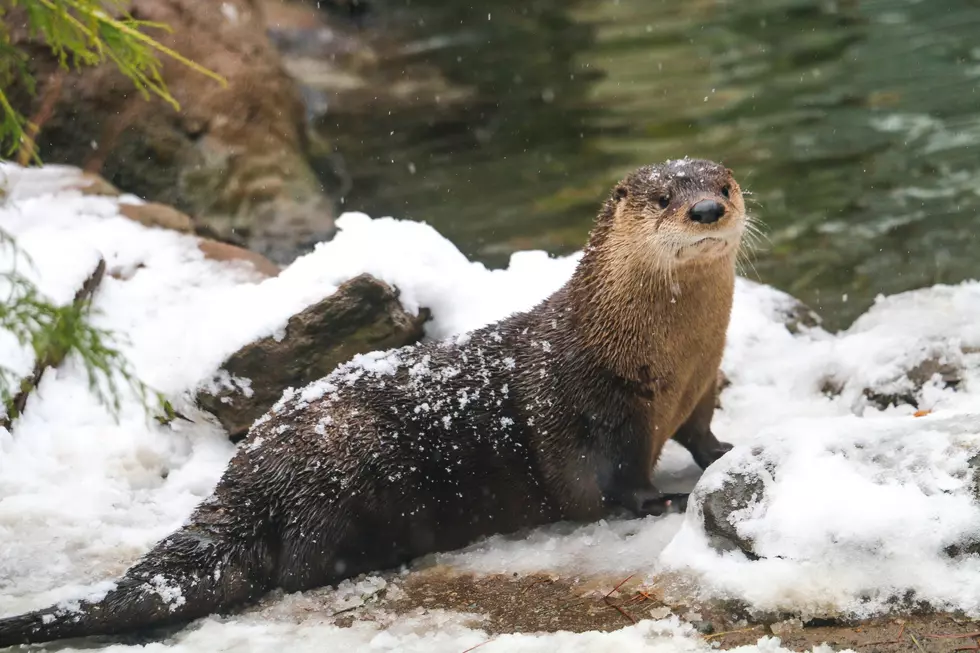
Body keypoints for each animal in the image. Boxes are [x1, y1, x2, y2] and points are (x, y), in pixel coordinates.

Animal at [0, 158, 748, 648]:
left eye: (724, 184)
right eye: (661, 197)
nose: (707, 211)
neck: (652, 353)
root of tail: (246, 476)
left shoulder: (702, 382)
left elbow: (702, 431)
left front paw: (725, 450)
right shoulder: (595, 409)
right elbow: (605, 480)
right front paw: (658, 500)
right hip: (336, 472)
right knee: (298, 568)